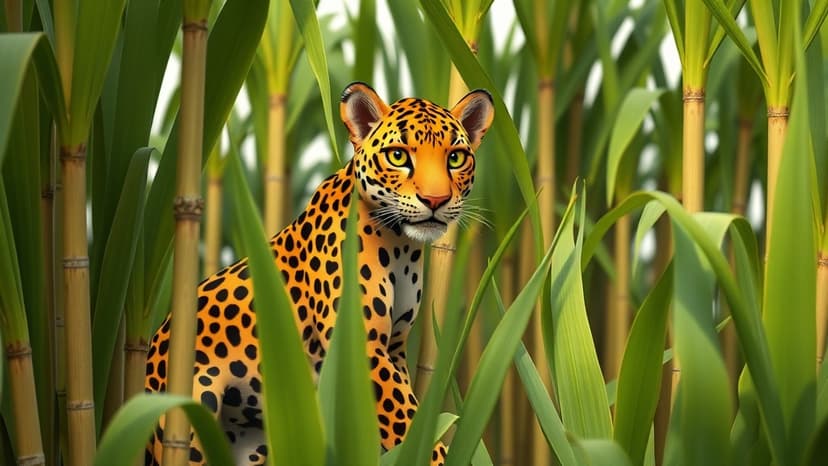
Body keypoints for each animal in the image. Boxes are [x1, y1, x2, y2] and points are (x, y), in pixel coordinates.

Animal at [144, 82, 494, 465]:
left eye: (455, 158)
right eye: (399, 156)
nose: (435, 200)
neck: (400, 246)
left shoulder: (395, 347)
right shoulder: (366, 347)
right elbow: (405, 418)